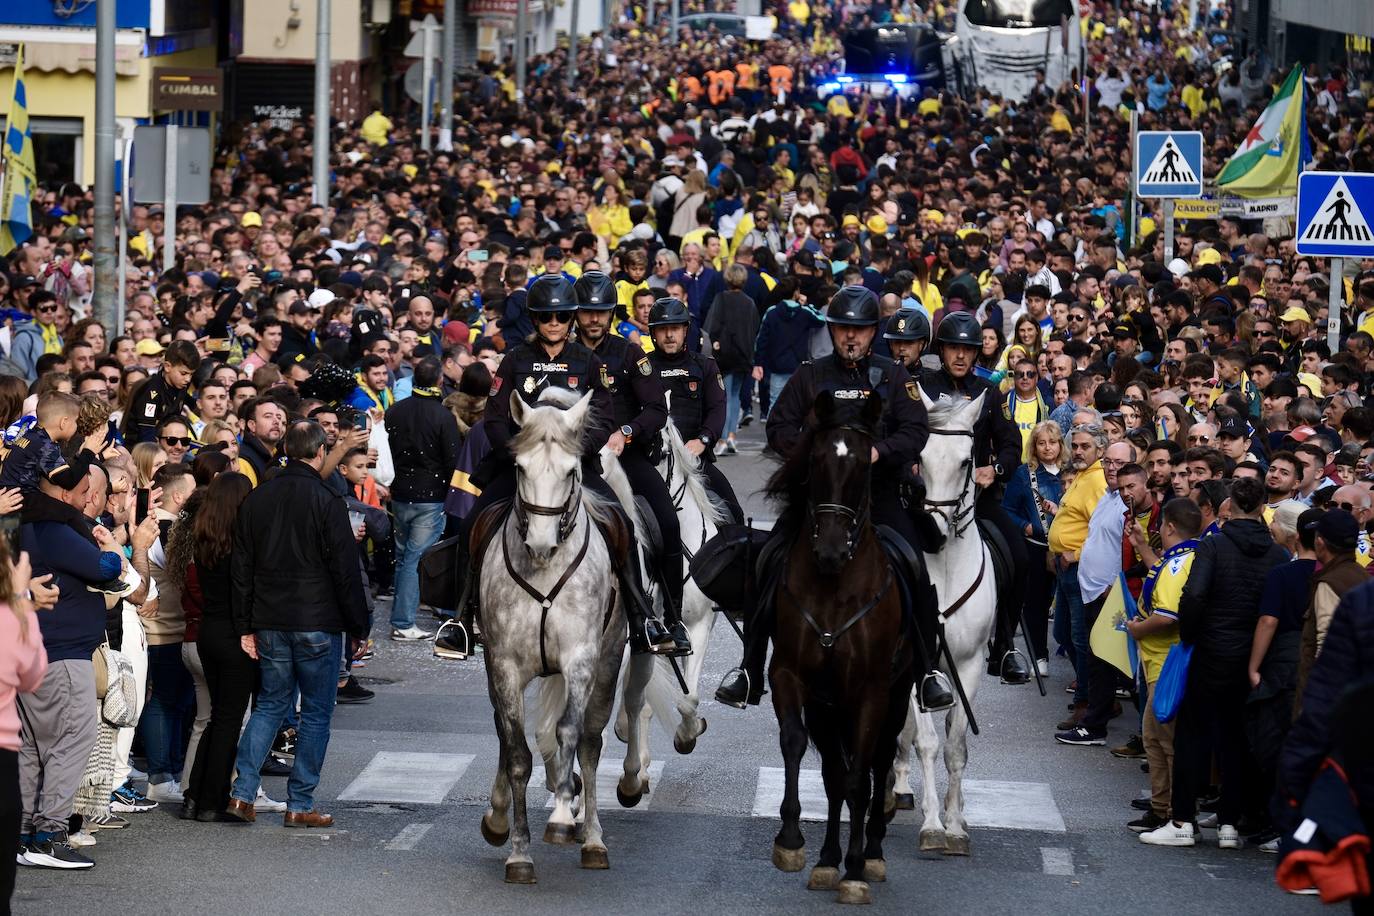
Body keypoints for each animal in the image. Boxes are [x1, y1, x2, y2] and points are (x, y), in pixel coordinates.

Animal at [475, 390, 621, 884]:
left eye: (571, 471)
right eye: (520, 468)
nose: (540, 544)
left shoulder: (581, 659)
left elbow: (569, 731)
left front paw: (561, 816)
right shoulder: (502, 665)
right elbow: (517, 751)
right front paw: (517, 850)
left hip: (609, 662)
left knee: (591, 745)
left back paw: (592, 837)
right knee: (507, 735)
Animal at [769, 390, 917, 906]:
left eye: (861, 466)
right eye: (815, 460)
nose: (830, 552)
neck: (834, 587)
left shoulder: (870, 691)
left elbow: (859, 778)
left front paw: (854, 869)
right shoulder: (794, 679)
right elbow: (801, 749)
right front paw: (794, 842)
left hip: (896, 696)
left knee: (879, 763)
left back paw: (869, 852)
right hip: (830, 706)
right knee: (837, 773)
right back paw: (829, 858)